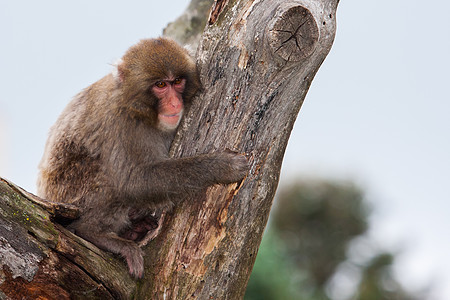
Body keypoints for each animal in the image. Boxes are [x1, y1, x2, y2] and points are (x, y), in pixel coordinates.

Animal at [36, 38, 248, 278]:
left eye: (177, 81)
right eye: (161, 85)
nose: (174, 103)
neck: (139, 109)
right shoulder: (120, 123)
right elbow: (133, 182)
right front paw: (221, 166)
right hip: (71, 195)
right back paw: (93, 233)